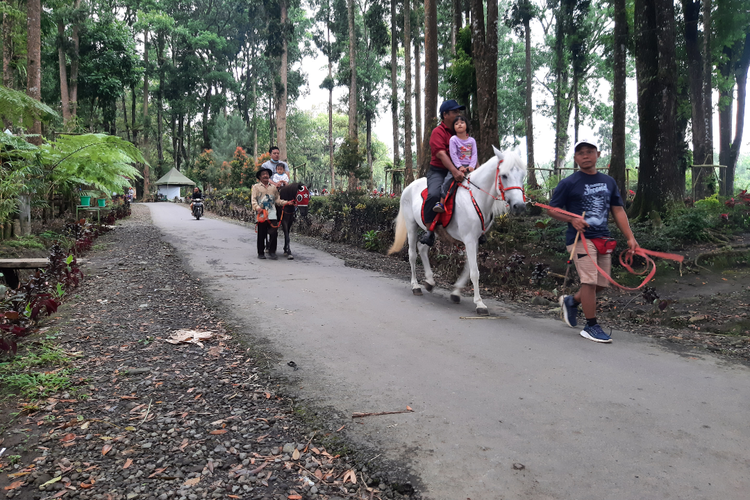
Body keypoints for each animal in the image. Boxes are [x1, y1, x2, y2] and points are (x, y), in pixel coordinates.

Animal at [388, 146, 528, 314]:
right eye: (504, 175)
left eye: (523, 176)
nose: (519, 206)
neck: (476, 196)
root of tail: (408, 187)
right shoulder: (469, 239)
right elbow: (474, 272)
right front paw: (479, 303)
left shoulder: (474, 240)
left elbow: (469, 268)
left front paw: (456, 293)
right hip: (411, 226)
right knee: (412, 254)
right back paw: (415, 285)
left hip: (435, 230)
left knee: (422, 248)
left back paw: (429, 281)